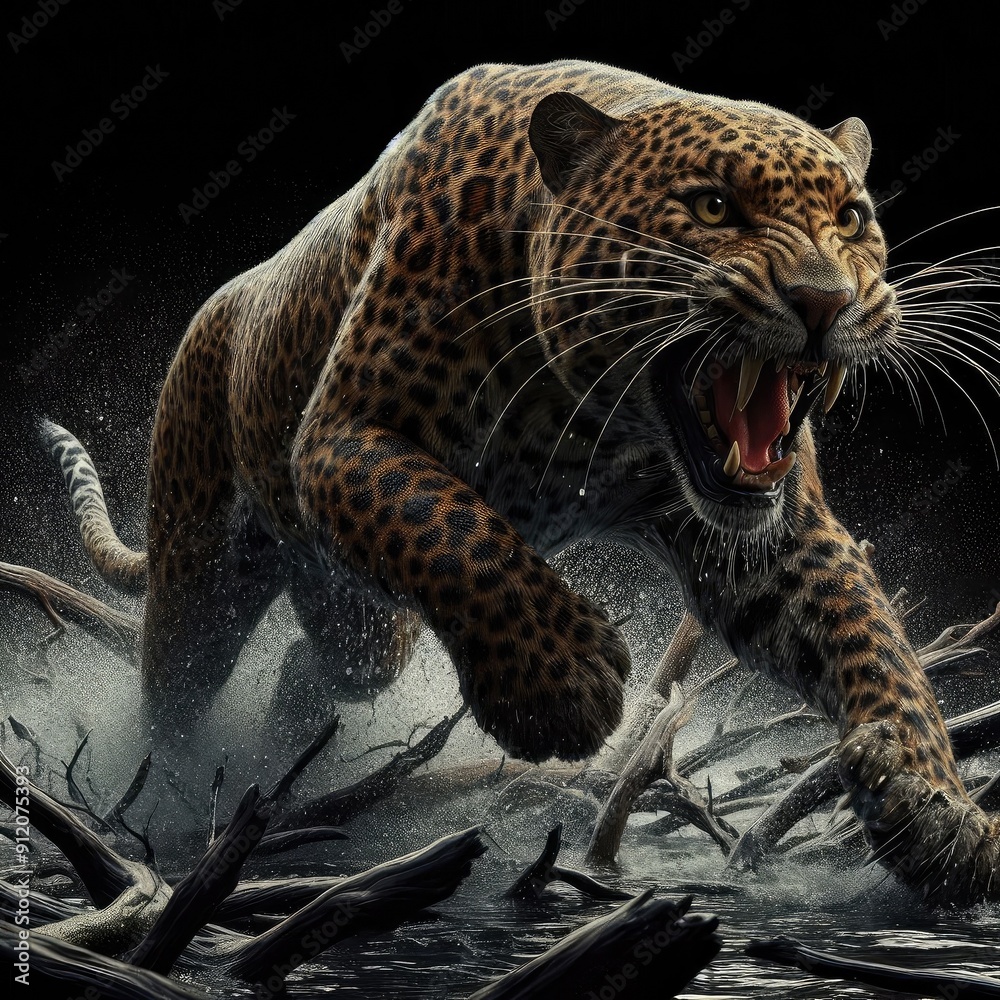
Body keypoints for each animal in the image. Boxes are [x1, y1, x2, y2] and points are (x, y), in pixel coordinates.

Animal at [41, 60, 1000, 905]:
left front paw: (934, 809)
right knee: (174, 686)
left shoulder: (772, 539)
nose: (825, 300)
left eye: (852, 216)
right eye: (713, 206)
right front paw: (559, 686)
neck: (591, 412)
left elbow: (869, 638)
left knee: (329, 668)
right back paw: (177, 794)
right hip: (202, 571)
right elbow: (453, 530)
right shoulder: (343, 437)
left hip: (359, 617)